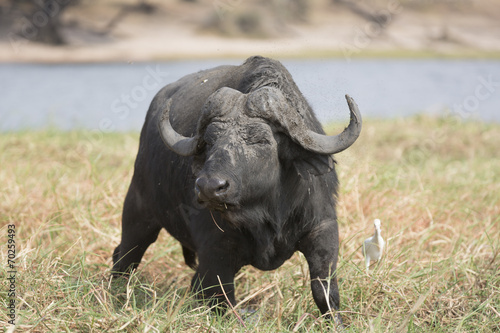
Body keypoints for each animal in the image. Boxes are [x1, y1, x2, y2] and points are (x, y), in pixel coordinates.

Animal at [111, 55, 362, 320]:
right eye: (209, 141)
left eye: (260, 139)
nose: (209, 187)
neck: (267, 211)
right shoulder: (214, 251)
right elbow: (220, 299)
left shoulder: (323, 228)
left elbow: (324, 291)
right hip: (138, 212)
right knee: (125, 256)